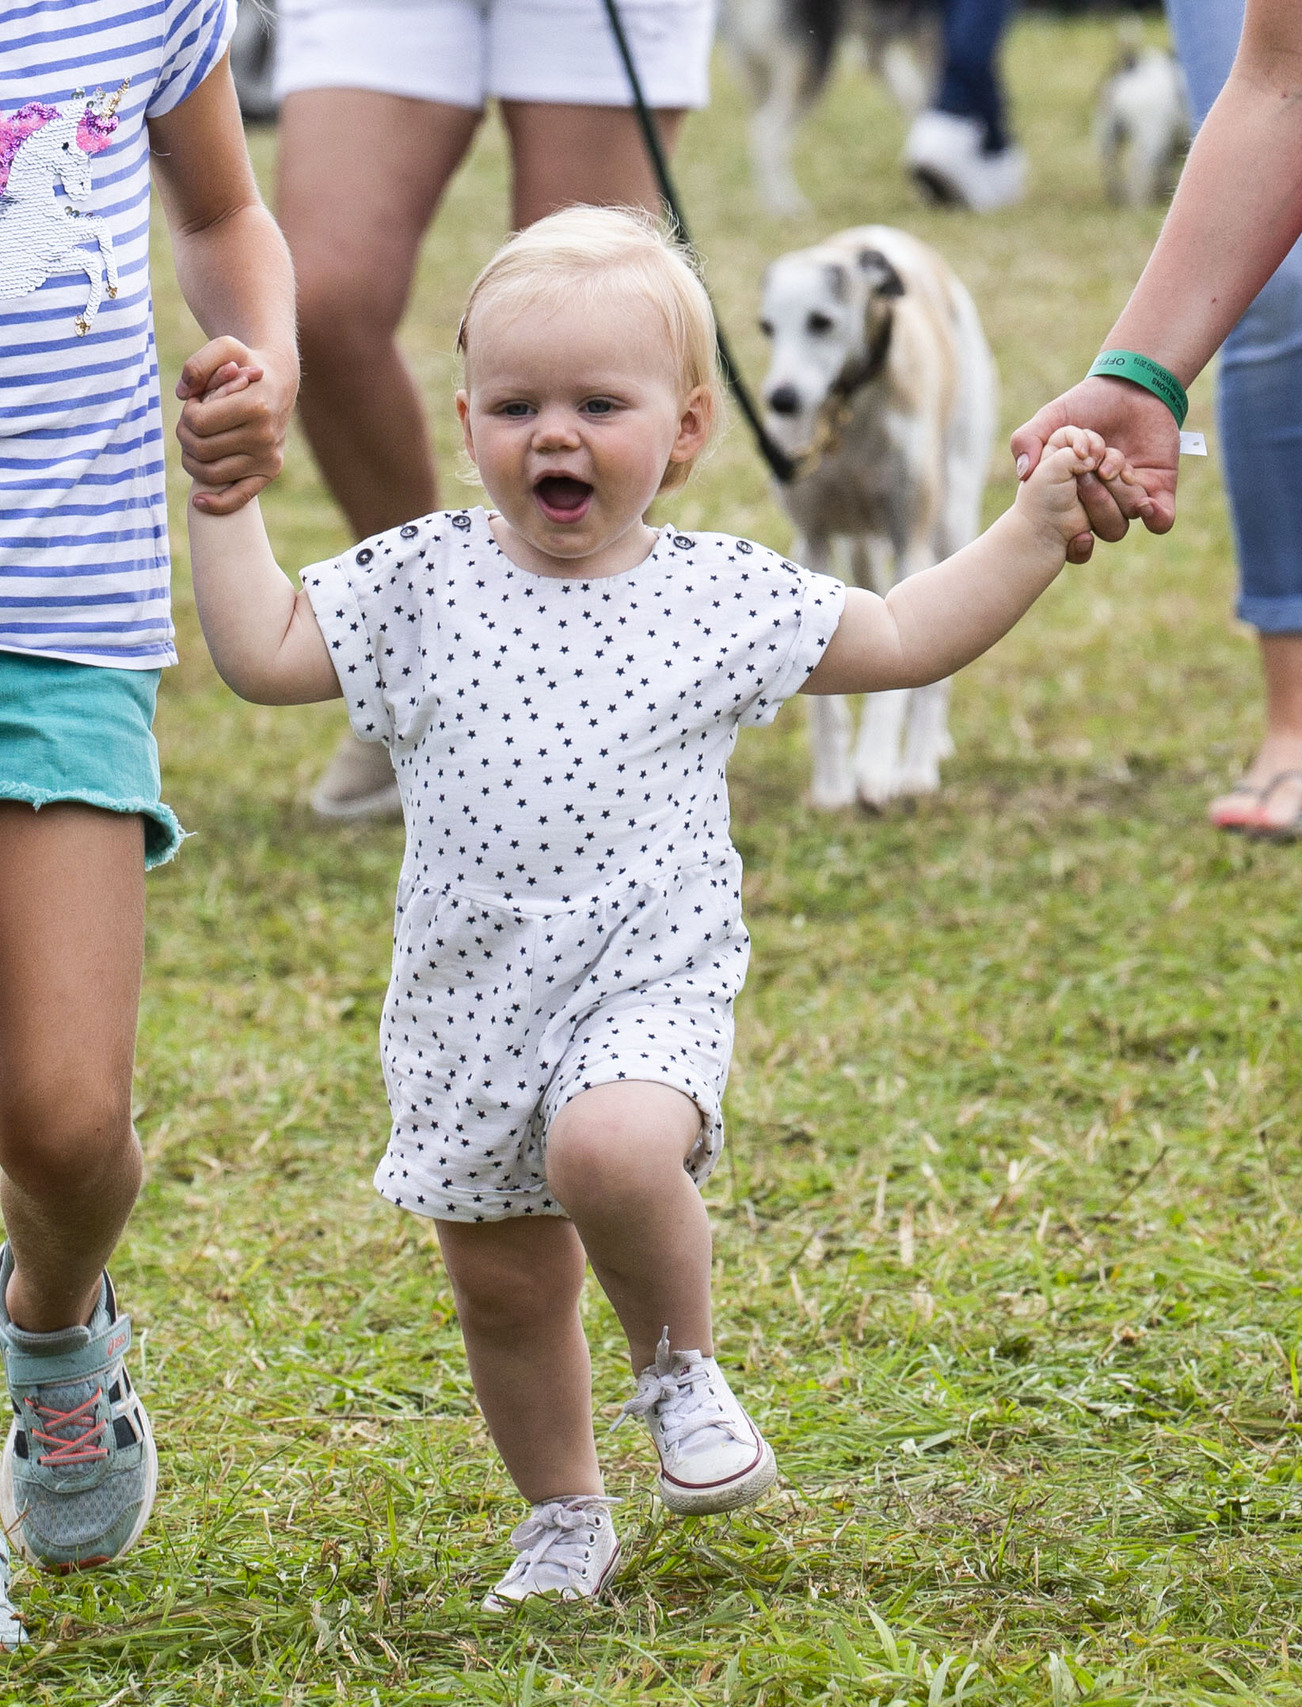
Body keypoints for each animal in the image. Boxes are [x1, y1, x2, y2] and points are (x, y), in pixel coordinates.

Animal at [723, 0, 935, 216]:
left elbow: (913, 97)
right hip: (813, 62)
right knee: (767, 132)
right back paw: (787, 204)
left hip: (760, 74)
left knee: (758, 129)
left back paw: (771, 204)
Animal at [764, 223, 996, 809]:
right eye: (767, 328)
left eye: (821, 321)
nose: (781, 400)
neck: (850, 410)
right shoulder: (813, 540)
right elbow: (827, 701)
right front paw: (831, 785)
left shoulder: (909, 538)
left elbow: (905, 673)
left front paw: (876, 769)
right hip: (861, 548)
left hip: (951, 518)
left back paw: (916, 765)